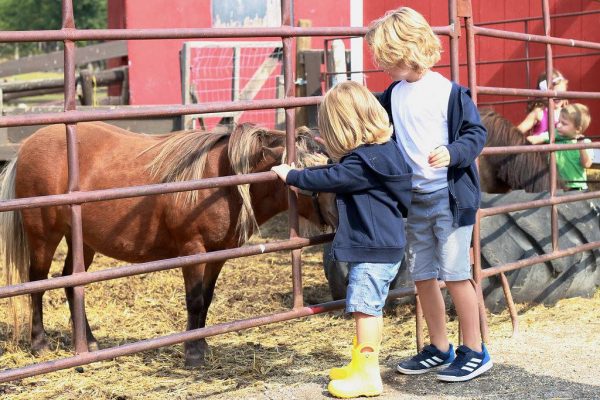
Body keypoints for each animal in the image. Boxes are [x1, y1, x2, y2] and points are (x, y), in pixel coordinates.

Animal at [0, 121, 336, 366]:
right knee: (38, 283)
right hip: (44, 236)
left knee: (71, 282)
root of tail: (27, 146)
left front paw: (201, 343)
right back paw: (40, 343)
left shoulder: (218, 255)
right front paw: (192, 353)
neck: (222, 181)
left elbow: (206, 300)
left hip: (83, 242)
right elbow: (194, 300)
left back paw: (90, 343)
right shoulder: (192, 250)